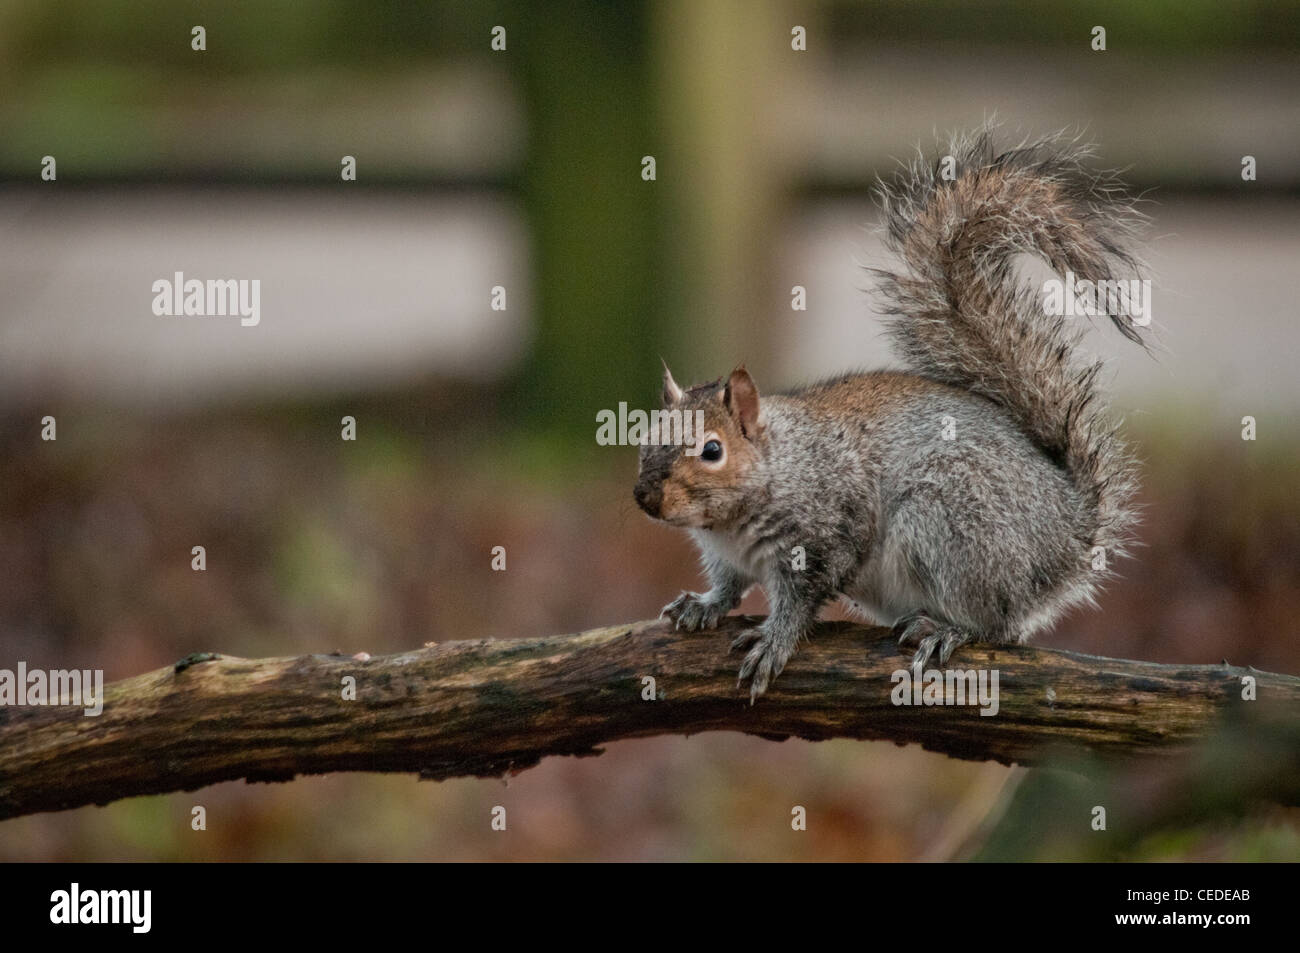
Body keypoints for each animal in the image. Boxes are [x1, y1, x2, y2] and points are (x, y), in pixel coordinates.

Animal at [633, 125, 1149, 702]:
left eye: (712, 450)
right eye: (646, 435)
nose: (645, 497)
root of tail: (1068, 532)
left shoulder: (827, 534)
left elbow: (802, 597)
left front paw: (773, 641)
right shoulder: (727, 555)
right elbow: (727, 585)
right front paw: (703, 605)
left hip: (951, 523)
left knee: (998, 623)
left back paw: (948, 629)